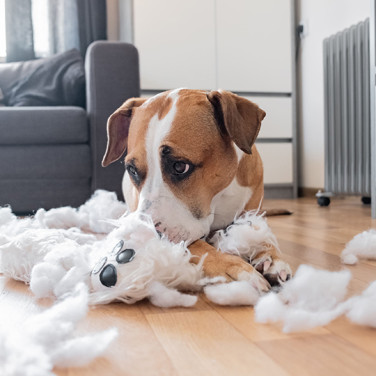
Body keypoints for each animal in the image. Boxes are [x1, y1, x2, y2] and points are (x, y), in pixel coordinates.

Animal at [102, 89, 290, 294]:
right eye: (132, 170)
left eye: (180, 166)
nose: (144, 235)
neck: (219, 198)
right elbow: (200, 246)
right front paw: (234, 268)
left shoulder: (253, 213)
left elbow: (260, 233)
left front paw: (270, 256)